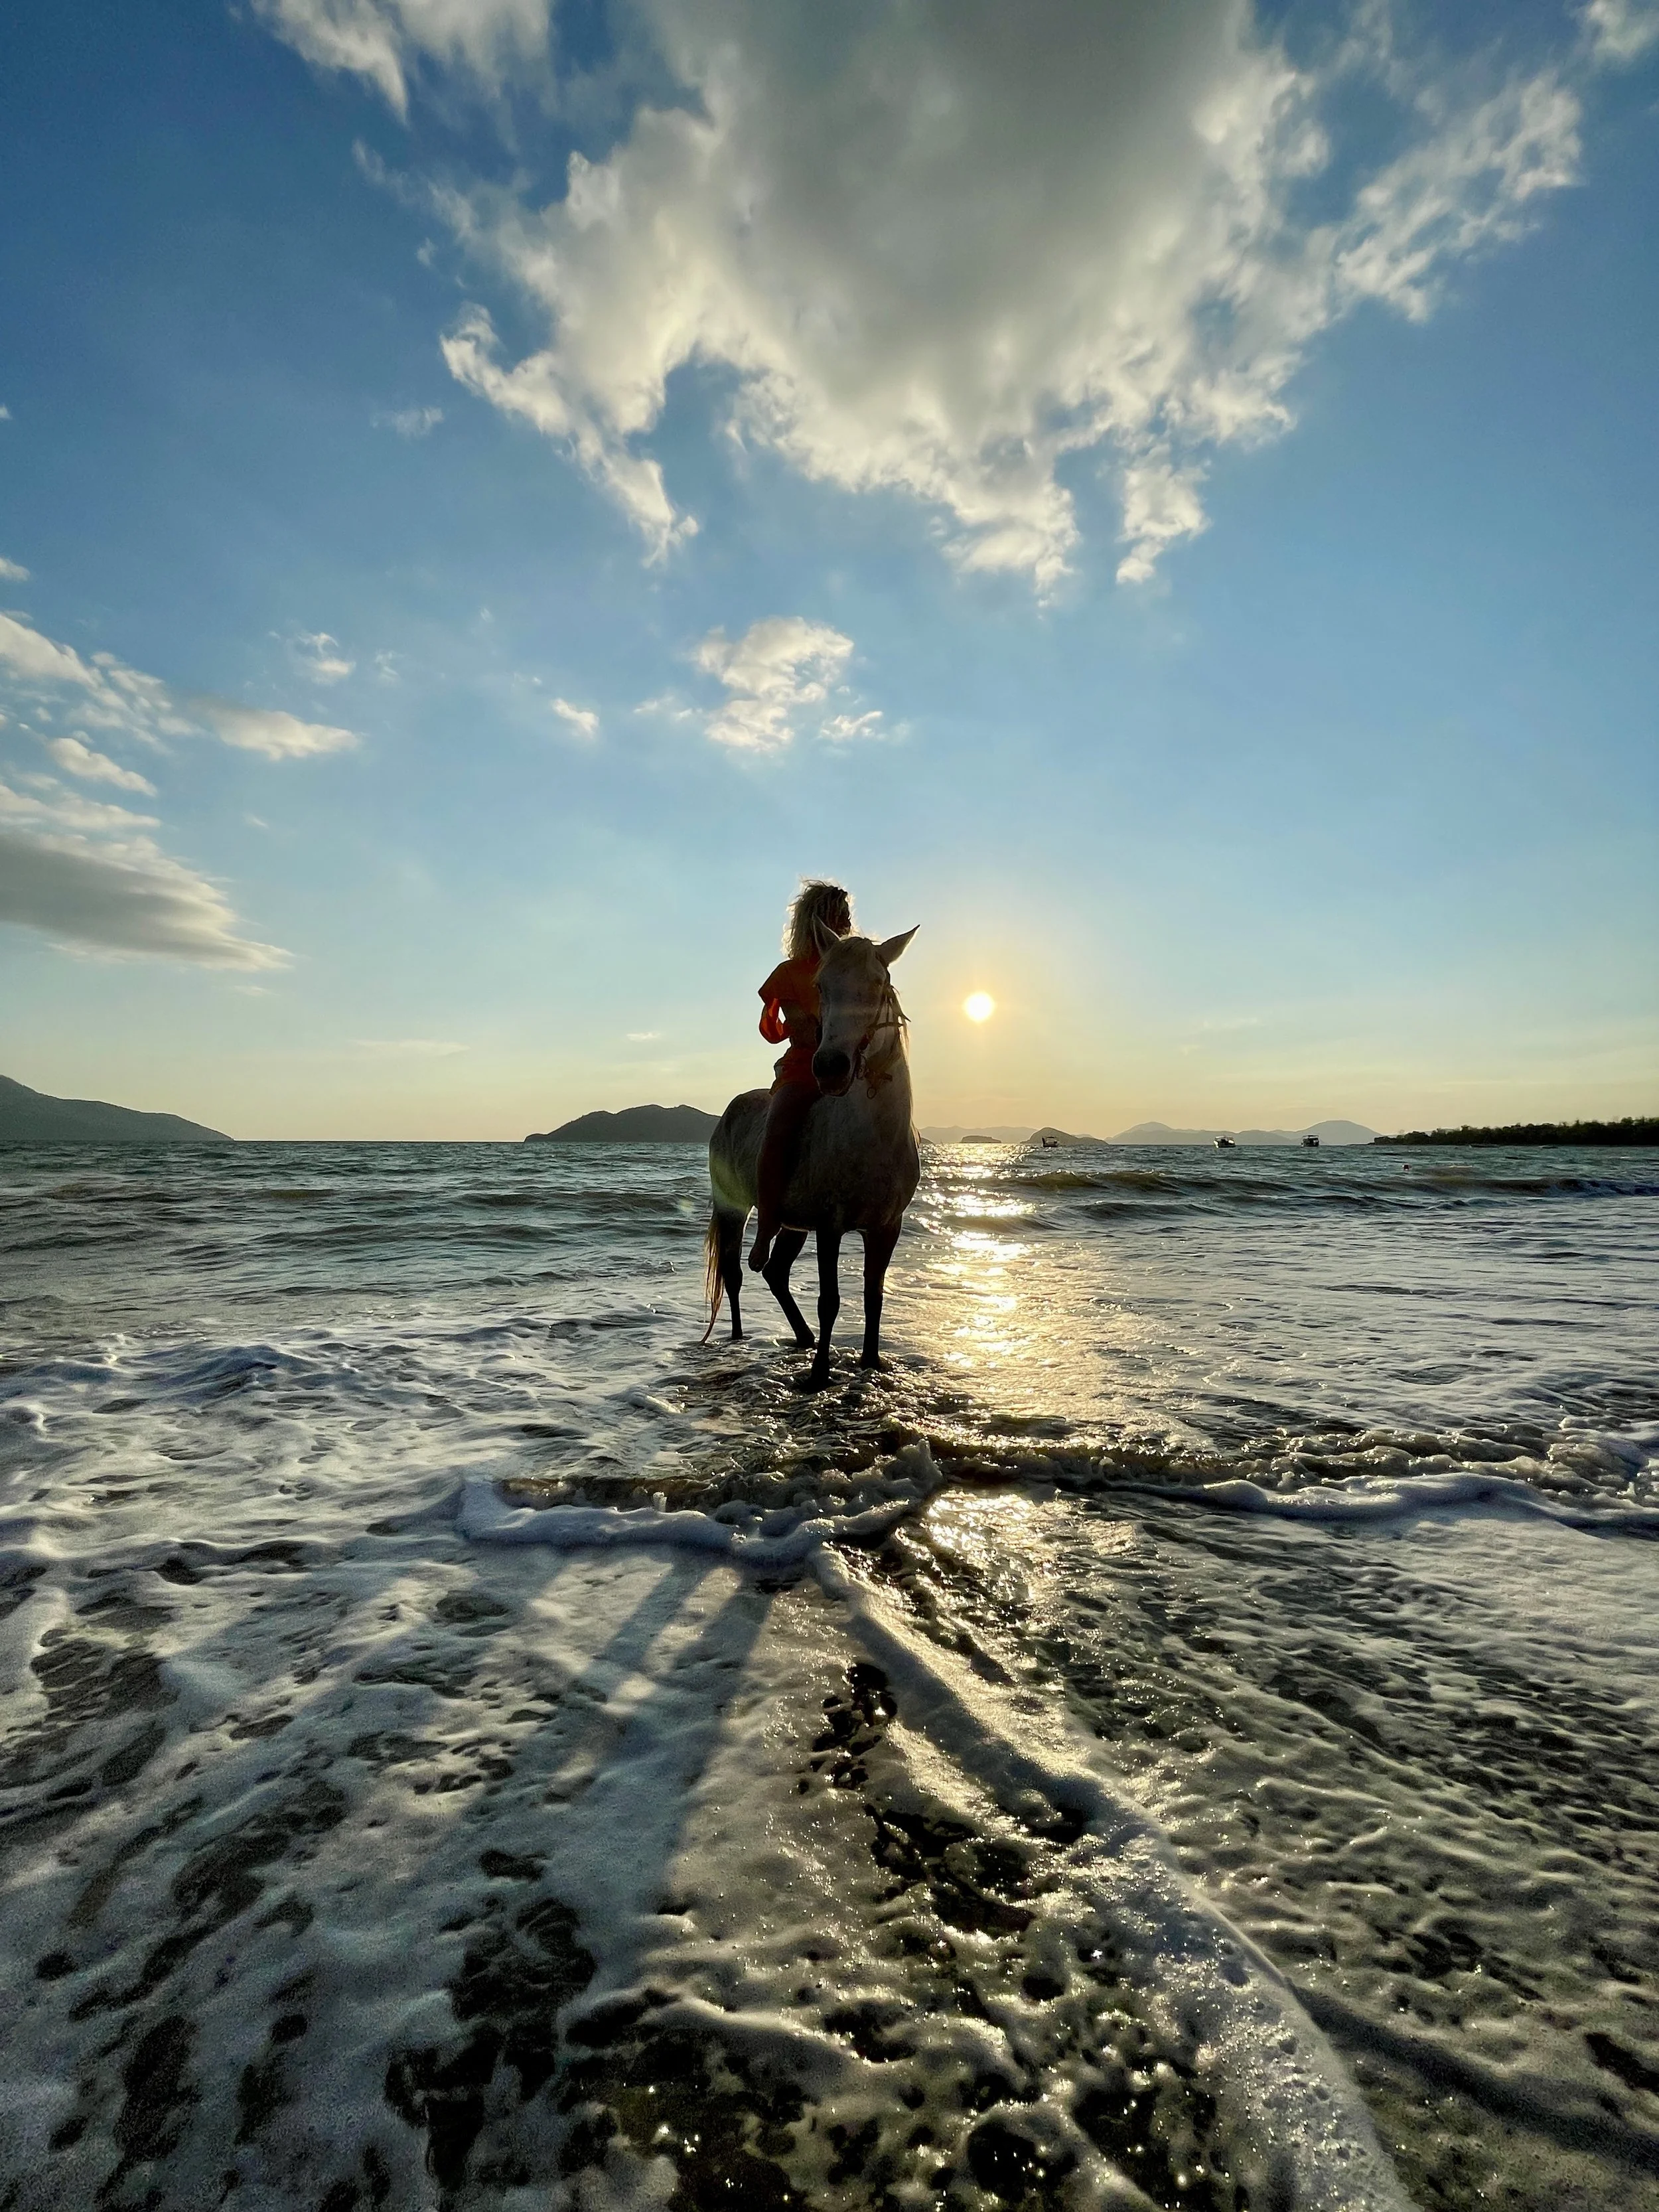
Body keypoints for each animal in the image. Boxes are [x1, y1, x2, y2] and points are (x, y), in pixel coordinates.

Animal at [704, 927, 919, 1391]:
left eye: (879, 984)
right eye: (822, 987)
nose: (831, 1067)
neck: (873, 1137)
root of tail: (729, 1112)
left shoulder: (885, 1228)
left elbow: (873, 1296)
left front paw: (871, 1363)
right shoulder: (830, 1226)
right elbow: (830, 1301)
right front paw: (820, 1375)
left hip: (792, 1225)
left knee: (776, 1272)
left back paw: (801, 1337)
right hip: (733, 1209)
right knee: (735, 1274)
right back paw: (738, 1337)